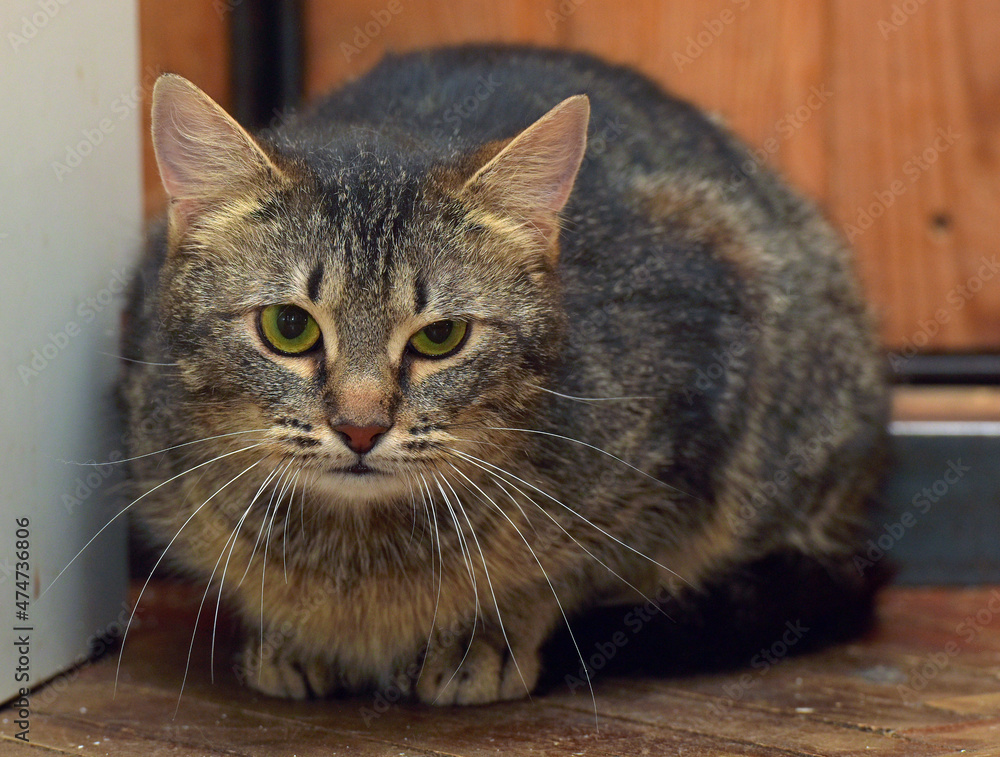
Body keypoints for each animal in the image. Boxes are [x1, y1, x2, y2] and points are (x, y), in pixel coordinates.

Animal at [121, 44, 888, 704]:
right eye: (289, 326)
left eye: (441, 336)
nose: (361, 428)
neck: (356, 555)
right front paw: (285, 634)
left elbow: (565, 574)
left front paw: (485, 636)